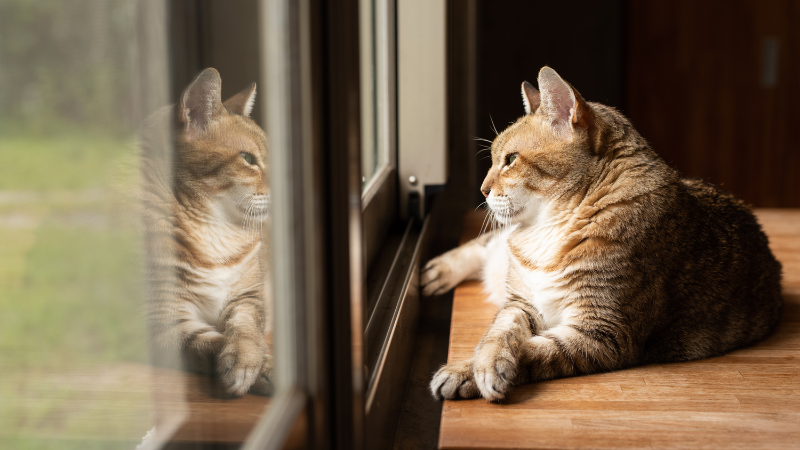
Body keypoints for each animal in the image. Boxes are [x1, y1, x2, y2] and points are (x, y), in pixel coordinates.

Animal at [141, 67, 272, 398]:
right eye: (248, 159)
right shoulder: (163, 322)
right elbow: (208, 341)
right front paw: (253, 366)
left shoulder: (248, 296)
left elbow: (245, 329)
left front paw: (253, 359)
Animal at [422, 66, 784, 400]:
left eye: (510, 159)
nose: (482, 190)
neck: (551, 228)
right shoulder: (521, 304)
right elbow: (498, 332)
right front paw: (475, 363)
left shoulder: (602, 332)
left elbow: (533, 349)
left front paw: (472, 370)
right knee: (483, 246)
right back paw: (435, 271)